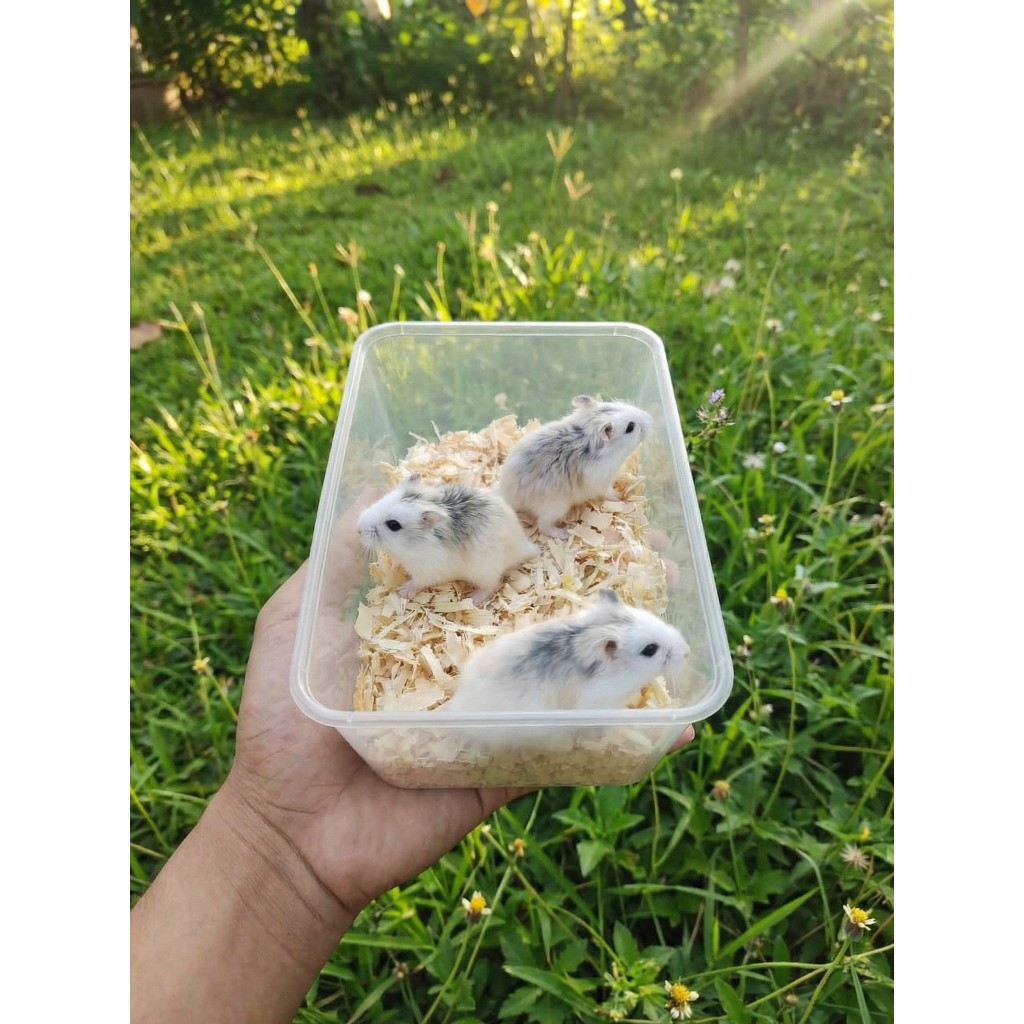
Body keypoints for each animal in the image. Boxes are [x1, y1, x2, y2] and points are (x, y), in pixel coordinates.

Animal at [357, 475, 540, 605]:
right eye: (381, 499)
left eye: (393, 525)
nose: (358, 530)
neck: (411, 546)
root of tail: (525, 545)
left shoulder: (428, 571)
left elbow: (417, 582)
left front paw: (402, 590)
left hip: (484, 571)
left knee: (492, 585)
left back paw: (473, 598)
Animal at [498, 395, 654, 539]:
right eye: (630, 427)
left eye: (616, 404)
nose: (650, 418)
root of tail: (507, 495)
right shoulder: (601, 481)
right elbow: (607, 492)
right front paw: (620, 496)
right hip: (555, 508)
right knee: (543, 526)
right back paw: (564, 534)